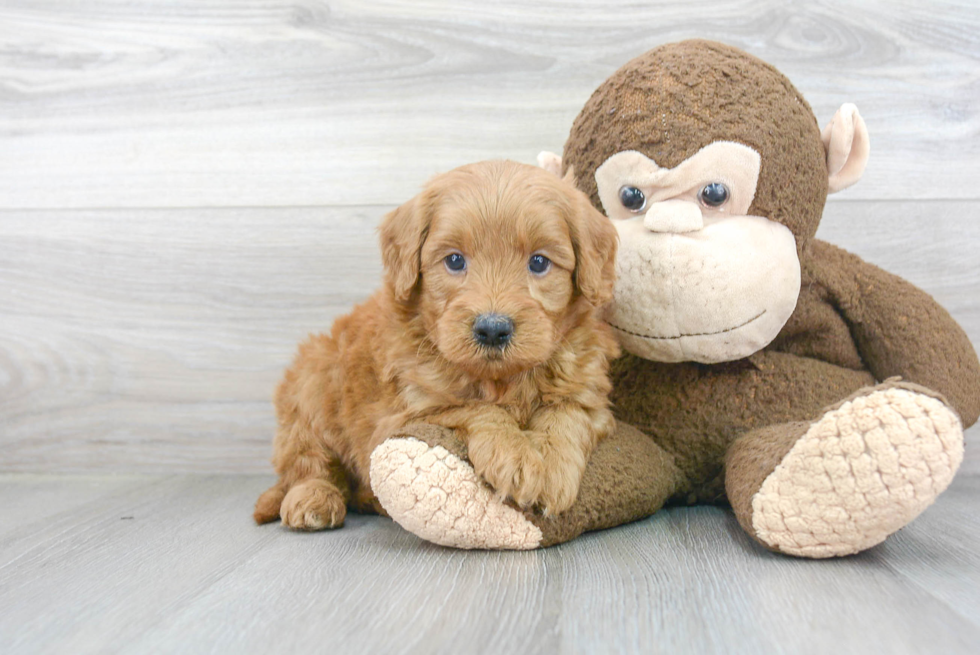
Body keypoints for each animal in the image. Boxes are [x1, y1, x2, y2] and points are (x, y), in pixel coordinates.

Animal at [255, 160, 620, 532]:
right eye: (455, 260)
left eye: (539, 262)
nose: (492, 329)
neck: (503, 380)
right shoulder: (407, 411)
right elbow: (475, 407)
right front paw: (515, 455)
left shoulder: (590, 395)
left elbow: (567, 412)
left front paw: (552, 465)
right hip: (312, 384)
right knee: (308, 463)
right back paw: (313, 499)